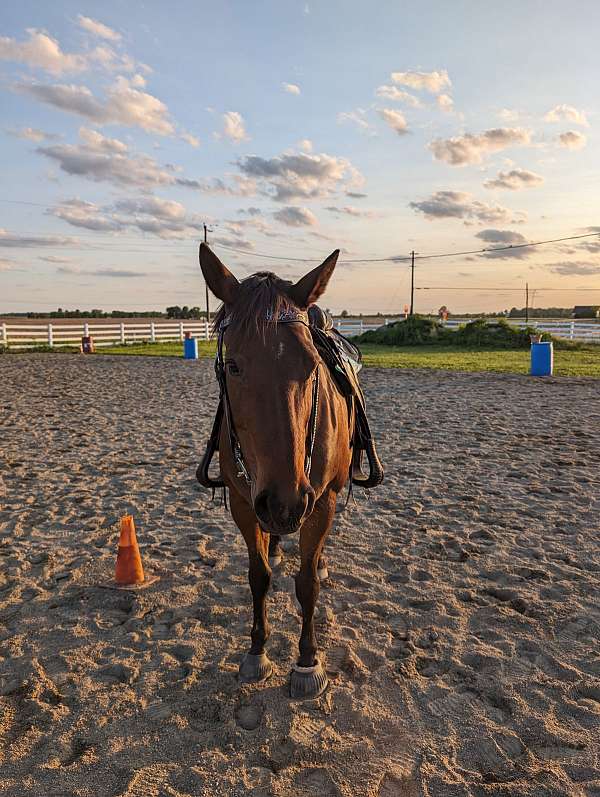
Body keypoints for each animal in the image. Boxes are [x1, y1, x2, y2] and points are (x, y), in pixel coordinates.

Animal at [199, 243, 354, 696]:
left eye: (311, 365)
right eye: (233, 365)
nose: (284, 502)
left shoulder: (320, 502)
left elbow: (307, 584)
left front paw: (307, 662)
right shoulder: (243, 501)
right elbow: (258, 576)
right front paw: (256, 652)